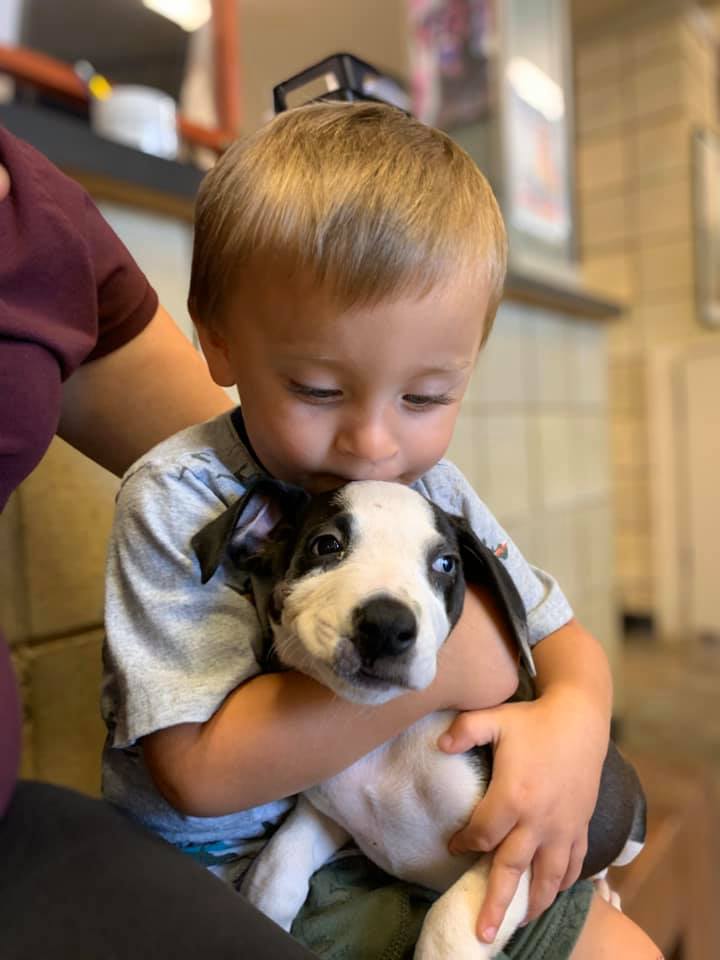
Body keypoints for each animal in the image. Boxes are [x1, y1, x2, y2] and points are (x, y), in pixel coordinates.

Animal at [193, 480, 648, 960]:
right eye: (326, 545)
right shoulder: (327, 811)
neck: (391, 741)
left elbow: (446, 925)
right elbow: (274, 870)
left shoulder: (520, 850)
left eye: (445, 564)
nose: (387, 627)